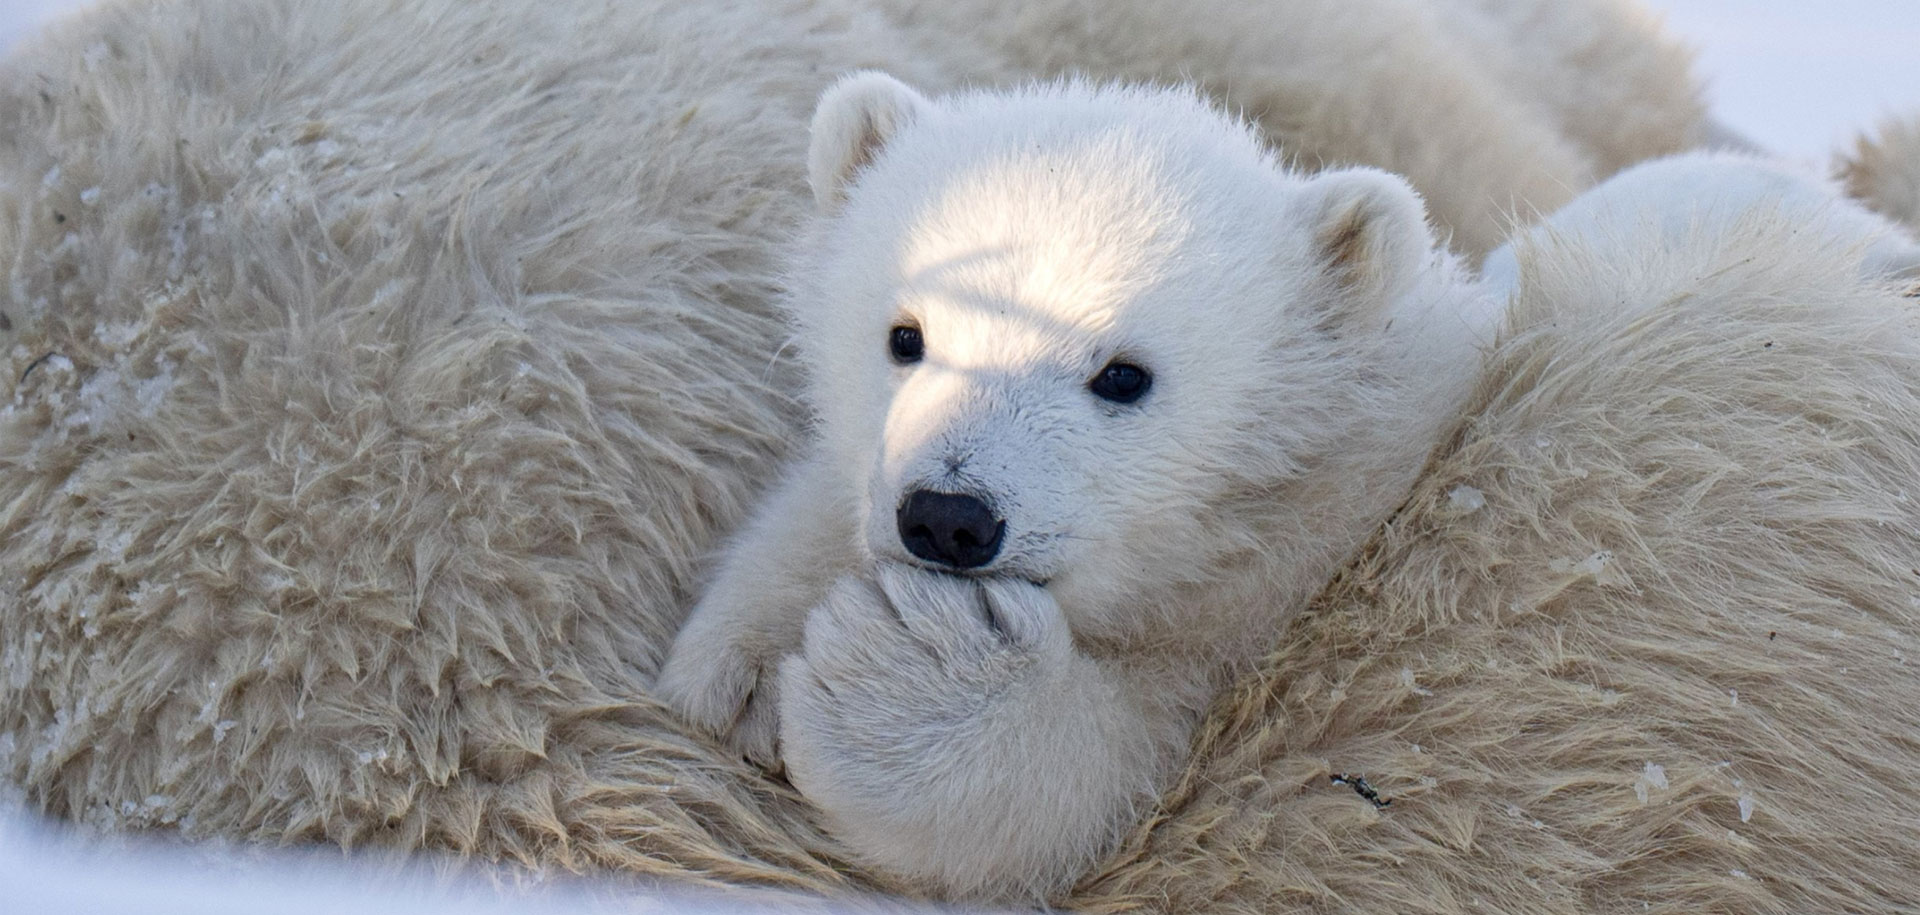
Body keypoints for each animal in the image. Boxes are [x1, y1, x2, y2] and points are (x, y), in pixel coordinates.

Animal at [0, 0, 1712, 897]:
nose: (951, 517)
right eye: (905, 334)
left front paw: (894, 683)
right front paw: (751, 655)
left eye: (1125, 375)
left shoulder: (1307, 562)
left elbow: (1103, 779)